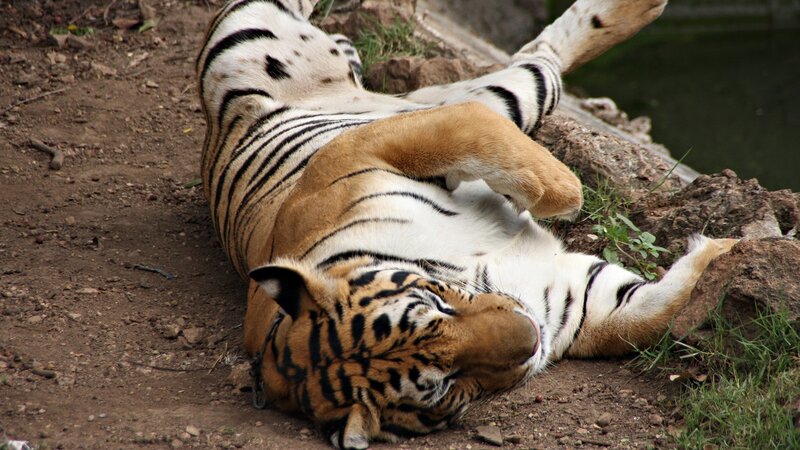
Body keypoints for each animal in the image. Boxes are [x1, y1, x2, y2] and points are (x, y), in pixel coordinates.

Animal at [195, 0, 737, 448]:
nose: (530, 336)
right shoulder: (574, 301)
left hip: (258, 39)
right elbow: (649, 315)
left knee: (520, 73)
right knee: (533, 66)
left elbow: (477, 135)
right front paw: (724, 251)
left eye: (435, 305)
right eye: (443, 384)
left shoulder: (359, 151)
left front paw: (568, 195)